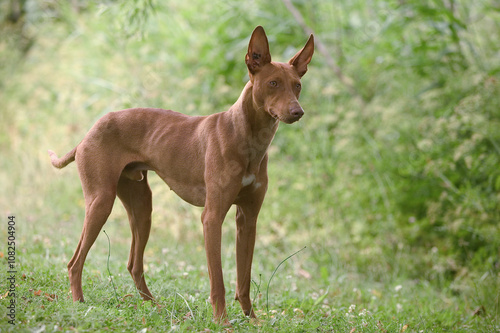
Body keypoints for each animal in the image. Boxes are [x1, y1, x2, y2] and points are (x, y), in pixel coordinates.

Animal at [49, 26, 312, 322]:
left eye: (297, 85)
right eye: (273, 83)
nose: (298, 112)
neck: (248, 138)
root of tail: (88, 133)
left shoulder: (248, 219)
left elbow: (243, 279)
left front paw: (251, 319)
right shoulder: (211, 217)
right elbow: (218, 281)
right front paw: (222, 321)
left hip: (142, 207)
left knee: (133, 264)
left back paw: (153, 306)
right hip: (100, 202)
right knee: (74, 262)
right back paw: (79, 303)